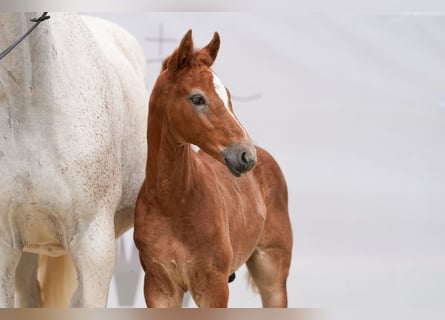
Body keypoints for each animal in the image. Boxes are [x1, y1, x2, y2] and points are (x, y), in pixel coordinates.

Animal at [134, 30, 292, 308]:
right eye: (197, 98)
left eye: (227, 96)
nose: (245, 155)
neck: (172, 205)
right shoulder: (159, 287)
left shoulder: (213, 287)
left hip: (272, 272)